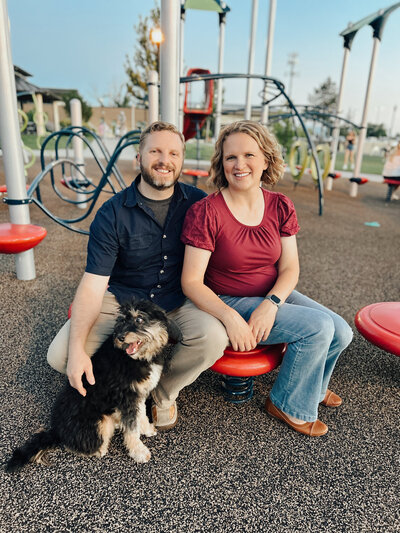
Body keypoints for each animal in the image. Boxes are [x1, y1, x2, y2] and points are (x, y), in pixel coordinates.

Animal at [5, 298, 181, 472]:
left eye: (139, 319)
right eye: (122, 320)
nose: (120, 337)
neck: (136, 358)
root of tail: (57, 431)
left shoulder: (138, 395)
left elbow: (140, 415)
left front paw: (146, 429)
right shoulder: (127, 397)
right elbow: (131, 427)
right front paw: (138, 451)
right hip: (99, 423)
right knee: (78, 445)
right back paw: (99, 447)